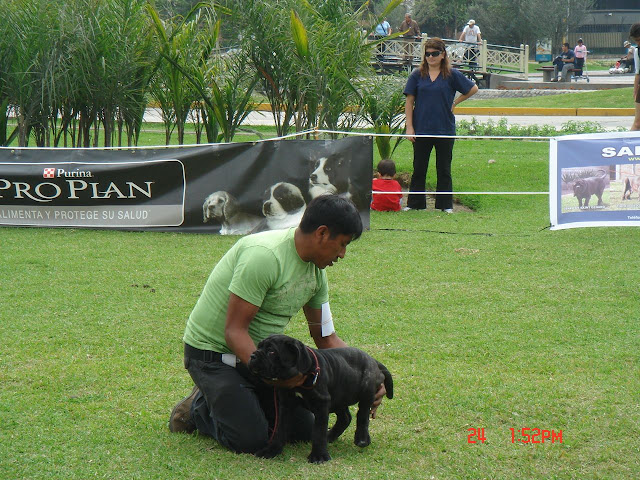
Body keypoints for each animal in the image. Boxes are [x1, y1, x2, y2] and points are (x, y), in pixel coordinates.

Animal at [248, 334, 392, 462]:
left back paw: (362, 439)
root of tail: (374, 361)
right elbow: (280, 428)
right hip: (337, 397)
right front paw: (272, 450)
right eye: (259, 346)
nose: (253, 355)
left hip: (366, 389)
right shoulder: (285, 405)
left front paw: (319, 456)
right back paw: (331, 436)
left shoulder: (321, 404)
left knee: (362, 414)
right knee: (345, 417)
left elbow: (318, 431)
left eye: (271, 351)